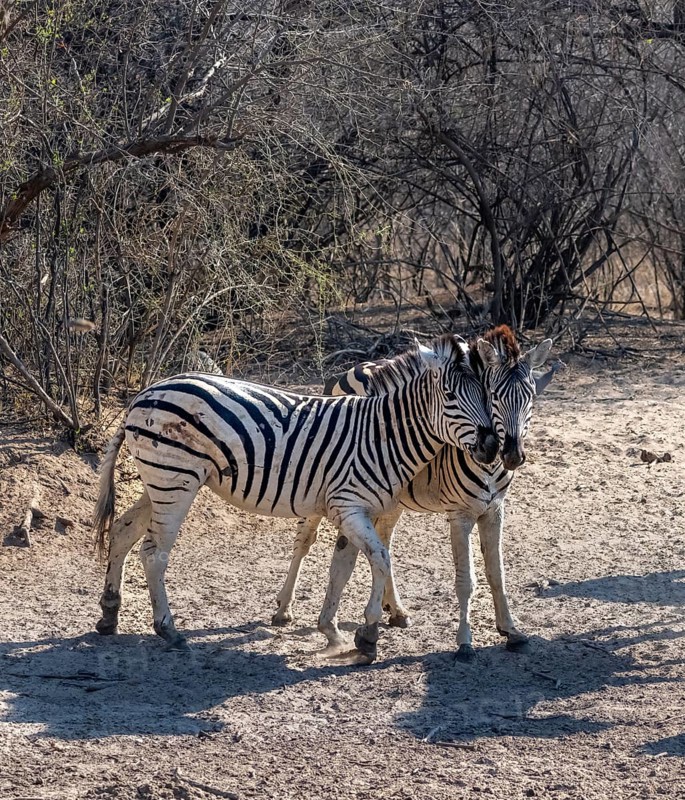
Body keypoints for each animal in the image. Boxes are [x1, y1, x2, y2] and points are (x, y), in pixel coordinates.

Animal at [93, 334, 499, 662]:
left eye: (487, 395)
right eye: (450, 396)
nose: (493, 446)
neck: (382, 435)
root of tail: (144, 394)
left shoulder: (354, 509)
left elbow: (344, 568)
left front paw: (332, 631)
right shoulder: (349, 506)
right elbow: (381, 560)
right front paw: (367, 634)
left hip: (160, 481)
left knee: (124, 530)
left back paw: (109, 613)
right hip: (175, 480)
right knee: (153, 553)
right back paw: (168, 629)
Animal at [272, 325, 557, 661]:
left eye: (532, 398)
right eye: (494, 397)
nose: (512, 455)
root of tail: (350, 370)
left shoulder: (495, 510)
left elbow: (497, 573)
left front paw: (511, 631)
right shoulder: (460, 514)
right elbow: (466, 580)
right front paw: (464, 642)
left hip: (388, 496)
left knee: (382, 541)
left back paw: (394, 610)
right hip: (321, 484)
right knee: (304, 539)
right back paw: (283, 608)